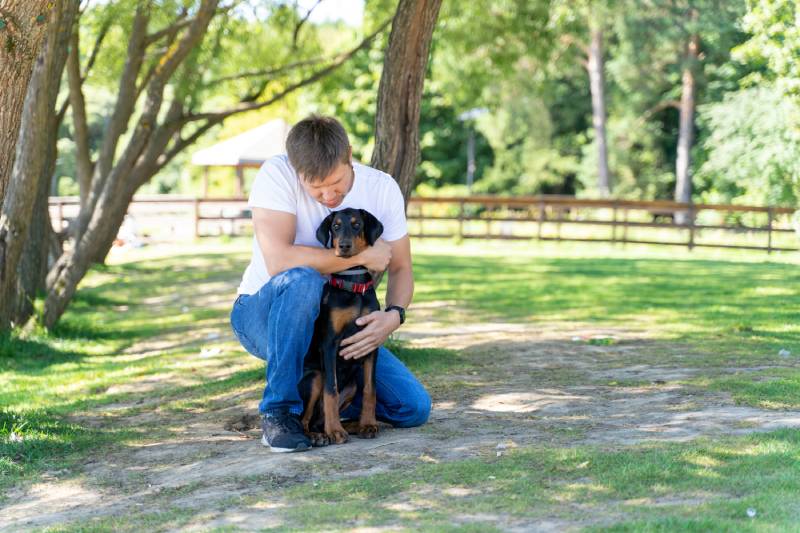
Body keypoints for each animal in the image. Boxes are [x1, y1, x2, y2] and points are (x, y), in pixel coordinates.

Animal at [300, 208, 388, 444]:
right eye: (336, 226)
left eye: (357, 225)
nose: (344, 246)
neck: (353, 285)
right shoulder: (330, 343)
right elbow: (331, 390)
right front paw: (335, 431)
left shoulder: (371, 341)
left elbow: (370, 389)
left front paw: (368, 424)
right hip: (314, 377)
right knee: (303, 419)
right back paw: (318, 435)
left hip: (351, 386)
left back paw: (358, 425)